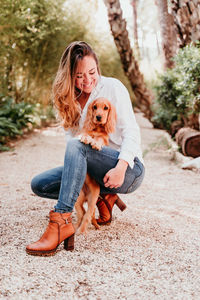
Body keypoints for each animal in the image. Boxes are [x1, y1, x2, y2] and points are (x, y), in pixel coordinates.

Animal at [75, 97, 116, 233]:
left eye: (106, 108)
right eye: (94, 107)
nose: (98, 117)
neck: (97, 129)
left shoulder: (104, 139)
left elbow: (99, 140)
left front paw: (96, 143)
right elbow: (85, 134)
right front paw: (85, 138)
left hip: (93, 199)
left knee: (88, 215)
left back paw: (82, 231)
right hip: (77, 199)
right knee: (82, 213)